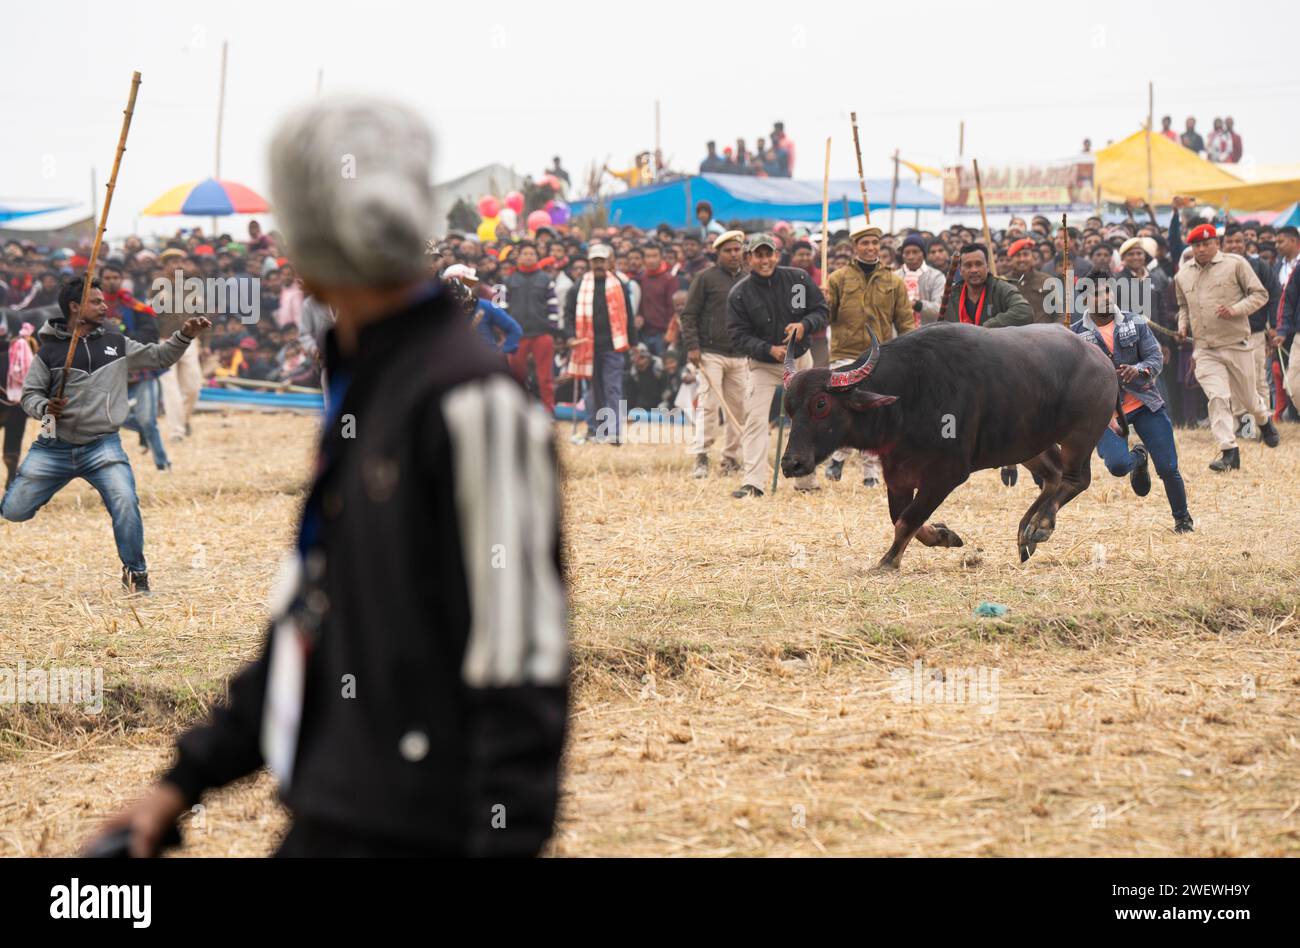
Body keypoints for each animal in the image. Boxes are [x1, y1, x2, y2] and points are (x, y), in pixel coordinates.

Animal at [774, 318, 1123, 569]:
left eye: (821, 404)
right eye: (789, 407)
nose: (792, 463)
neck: (908, 394)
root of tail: (1103, 361)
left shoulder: (948, 474)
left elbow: (908, 518)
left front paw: (888, 560)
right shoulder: (898, 475)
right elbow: (903, 517)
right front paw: (944, 535)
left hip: (1080, 436)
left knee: (1075, 479)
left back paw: (1040, 526)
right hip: (1029, 444)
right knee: (1053, 476)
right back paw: (1025, 533)